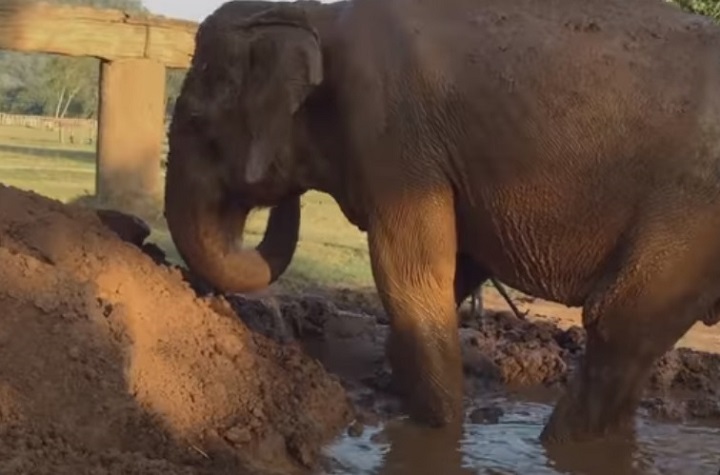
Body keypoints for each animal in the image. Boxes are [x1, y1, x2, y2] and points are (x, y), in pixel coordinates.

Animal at [163, 0, 720, 444]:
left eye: (196, 121)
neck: (320, 16)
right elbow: (456, 267)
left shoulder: (394, 135)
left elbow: (411, 275)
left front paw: (440, 431)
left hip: (692, 212)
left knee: (621, 322)